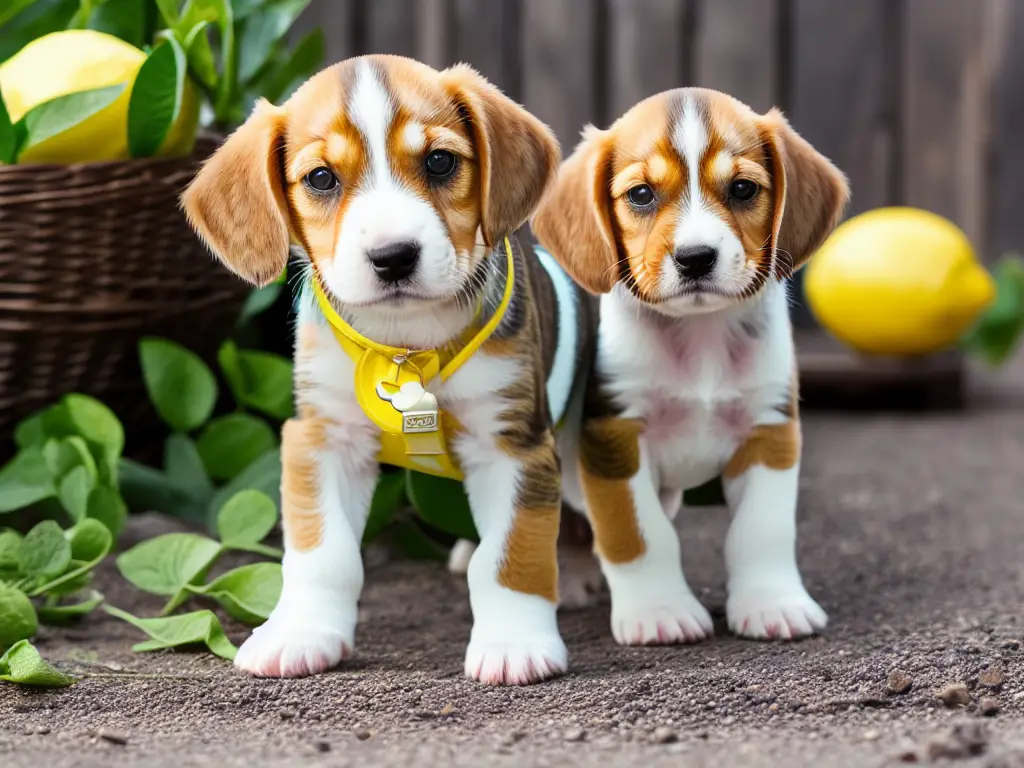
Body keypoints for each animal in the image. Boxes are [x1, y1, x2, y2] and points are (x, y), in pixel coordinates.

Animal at [180, 55, 589, 684]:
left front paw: (514, 641)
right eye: (321, 178)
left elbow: (510, 554)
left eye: (440, 161)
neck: (405, 346)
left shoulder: (514, 444)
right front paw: (300, 632)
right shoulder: (322, 438)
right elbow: (324, 554)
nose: (393, 257)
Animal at [532, 87, 851, 647]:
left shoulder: (769, 431)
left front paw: (774, 604)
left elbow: (761, 532)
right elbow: (640, 537)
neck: (701, 339)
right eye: (641, 194)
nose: (696, 257)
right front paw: (659, 611)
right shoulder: (615, 438)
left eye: (743, 189)